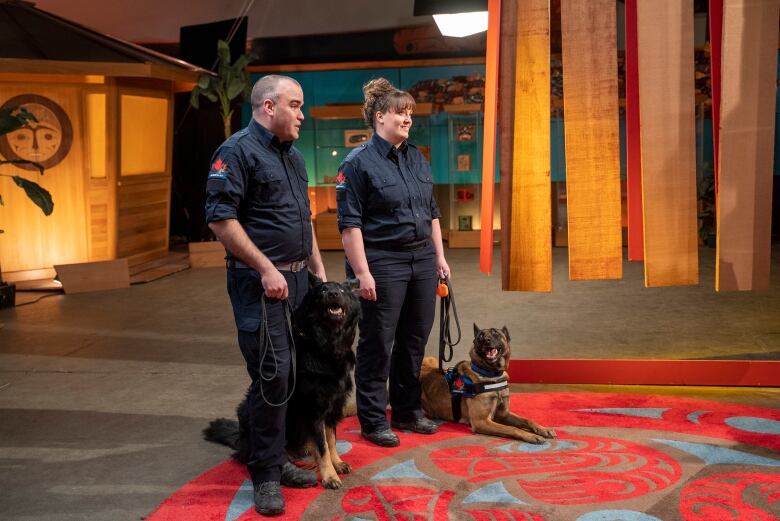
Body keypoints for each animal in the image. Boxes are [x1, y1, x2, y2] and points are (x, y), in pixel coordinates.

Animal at [201, 274, 360, 490]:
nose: (333, 294)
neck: (326, 344)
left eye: (342, 291)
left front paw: (337, 463)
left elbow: (331, 439)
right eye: (323, 292)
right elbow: (323, 446)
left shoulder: (333, 406)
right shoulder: (314, 411)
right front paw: (329, 475)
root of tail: (240, 440)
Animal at [420, 322, 556, 440]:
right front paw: (531, 436)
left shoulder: (504, 414)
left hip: (432, 359)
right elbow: (512, 428)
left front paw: (543, 429)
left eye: (495, 333)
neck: (491, 374)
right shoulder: (481, 421)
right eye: (480, 336)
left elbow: (527, 420)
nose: (485, 340)